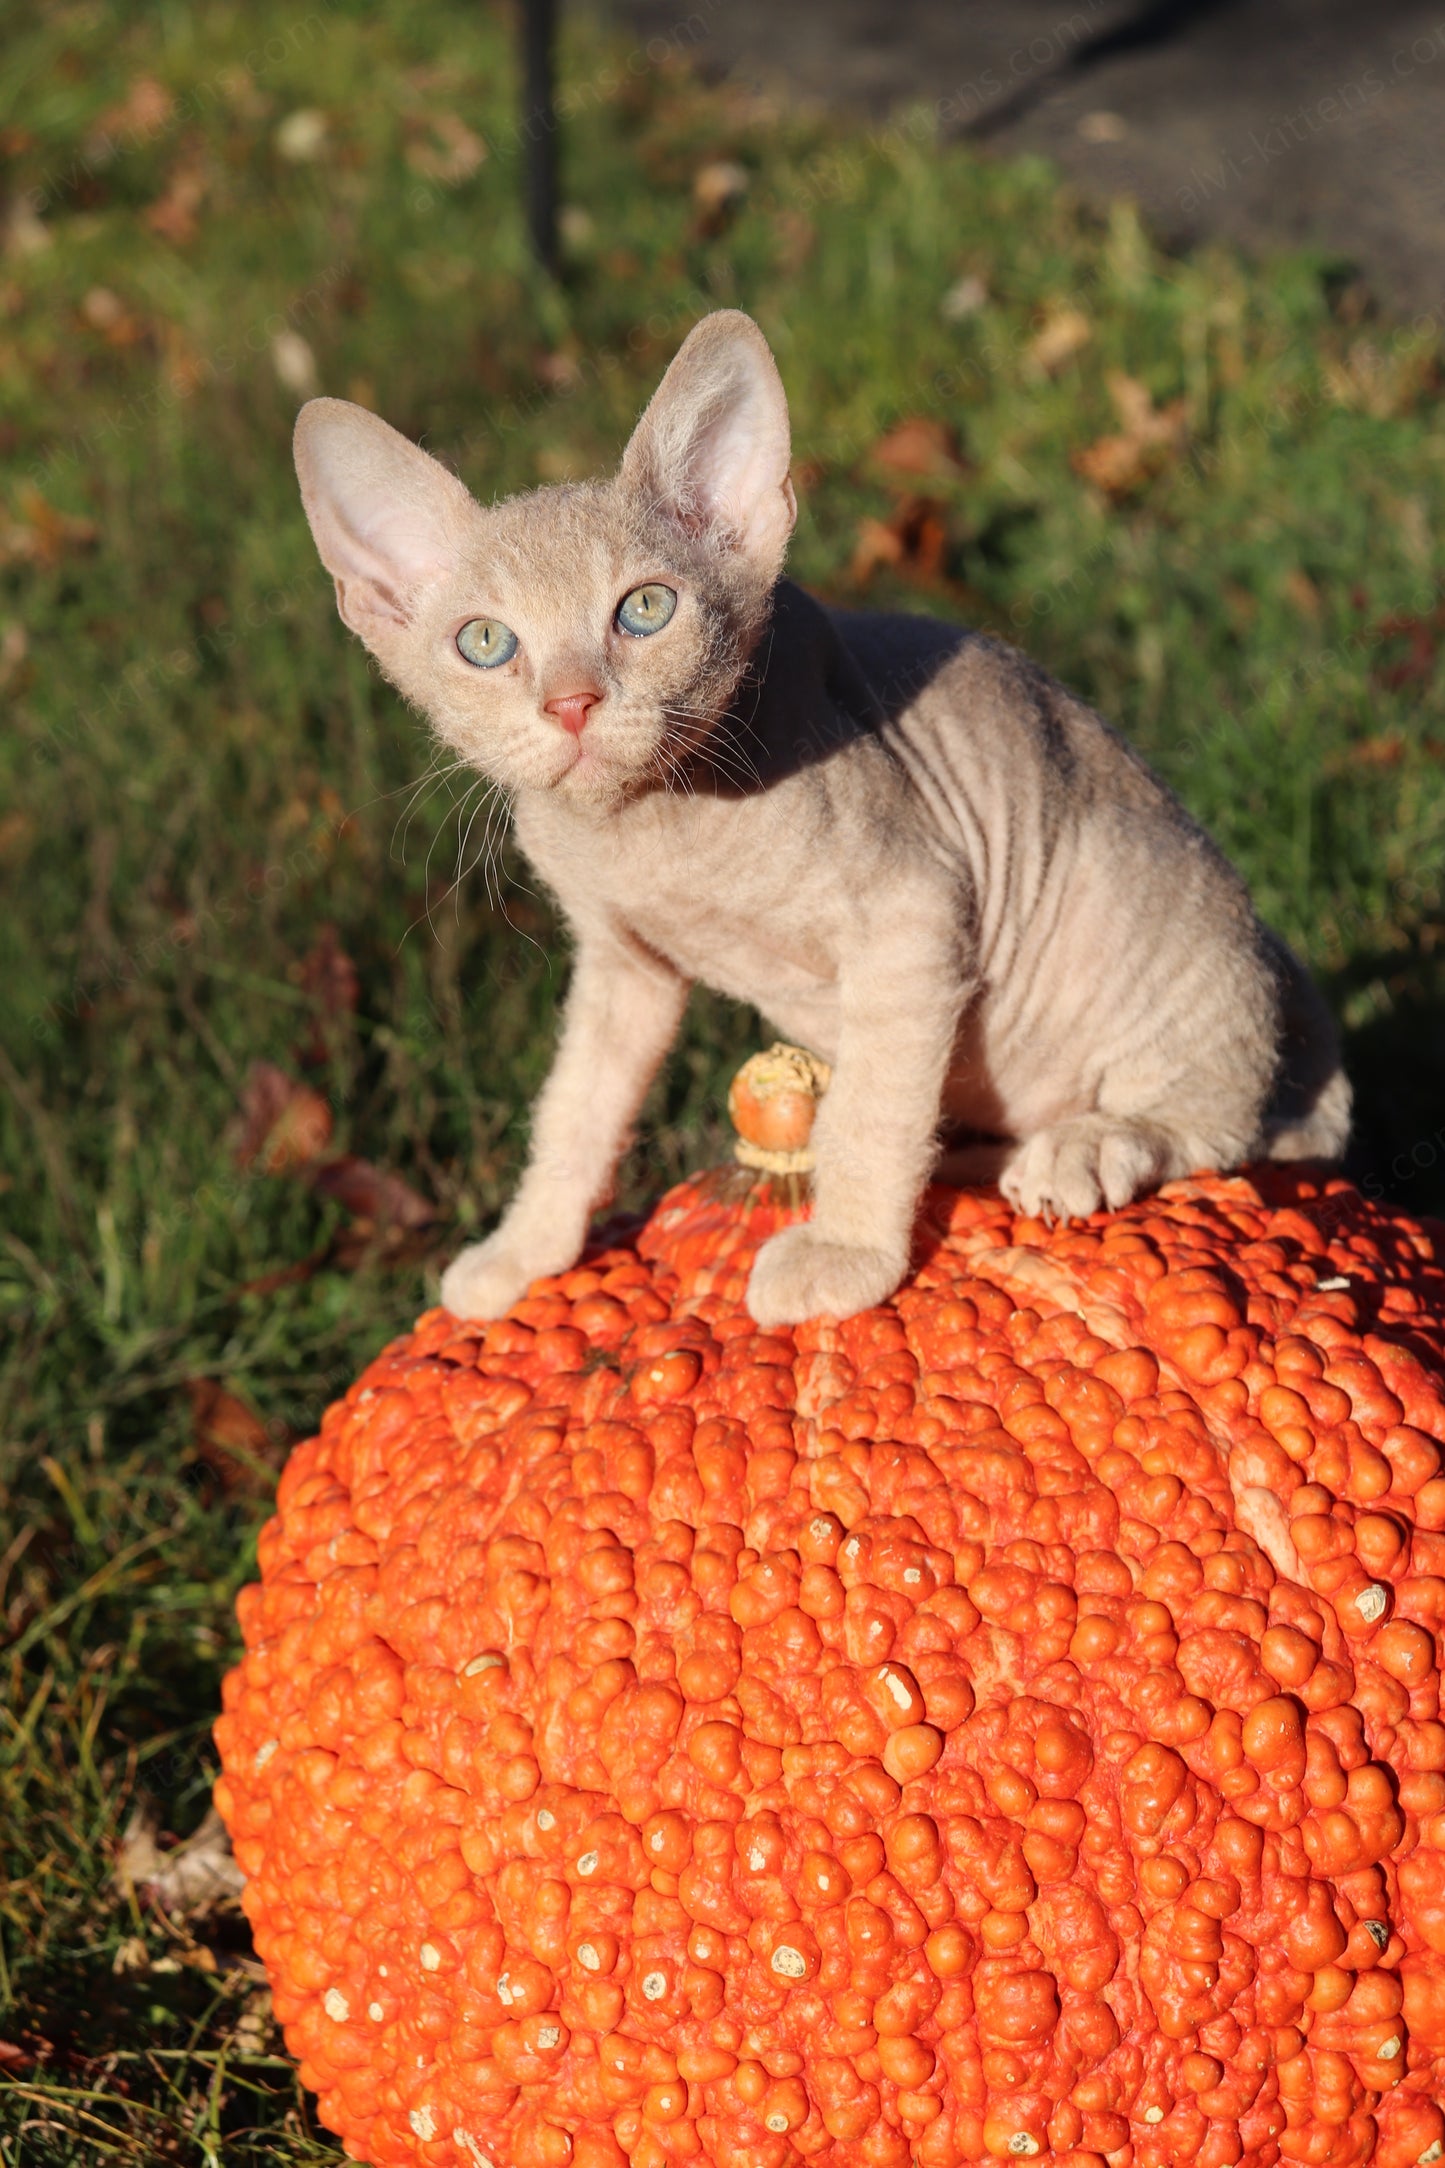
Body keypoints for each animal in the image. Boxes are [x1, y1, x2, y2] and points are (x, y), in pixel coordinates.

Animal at [288, 303, 1351, 1318]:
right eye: (485, 643)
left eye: (643, 611)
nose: (572, 704)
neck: (646, 829)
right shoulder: (621, 968)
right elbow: (575, 1110)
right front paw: (524, 1253)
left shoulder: (914, 919)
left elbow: (869, 1112)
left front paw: (846, 1255)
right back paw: (980, 1157)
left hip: (1139, 910)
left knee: (1226, 1123)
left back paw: (1088, 1145)